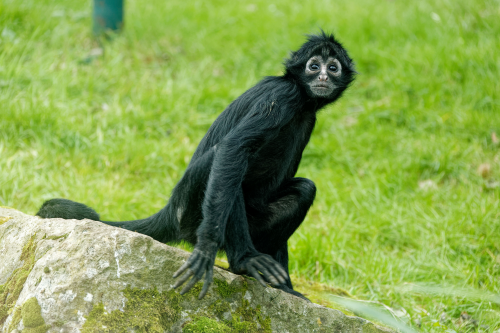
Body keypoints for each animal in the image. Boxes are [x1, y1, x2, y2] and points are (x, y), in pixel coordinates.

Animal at [37, 31, 356, 300]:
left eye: (333, 67)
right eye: (314, 66)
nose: (323, 75)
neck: (303, 100)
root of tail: (172, 208)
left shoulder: (308, 117)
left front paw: (287, 286)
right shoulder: (281, 97)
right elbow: (232, 150)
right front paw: (209, 250)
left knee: (304, 188)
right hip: (191, 211)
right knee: (225, 164)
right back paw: (243, 261)